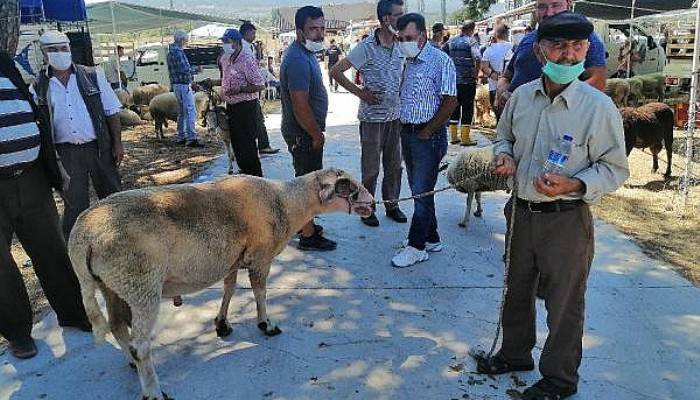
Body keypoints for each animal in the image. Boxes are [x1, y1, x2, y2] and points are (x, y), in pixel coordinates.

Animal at [69, 168, 378, 400]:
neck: (287, 203)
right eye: (348, 185)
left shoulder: (232, 259)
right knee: (140, 344)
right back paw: (154, 391)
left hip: (113, 284)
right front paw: (267, 325)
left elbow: (229, 289)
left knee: (118, 327)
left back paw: (133, 365)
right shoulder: (260, 256)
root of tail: (82, 238)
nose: (374, 203)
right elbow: (260, 293)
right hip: (140, 284)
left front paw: (222, 324)